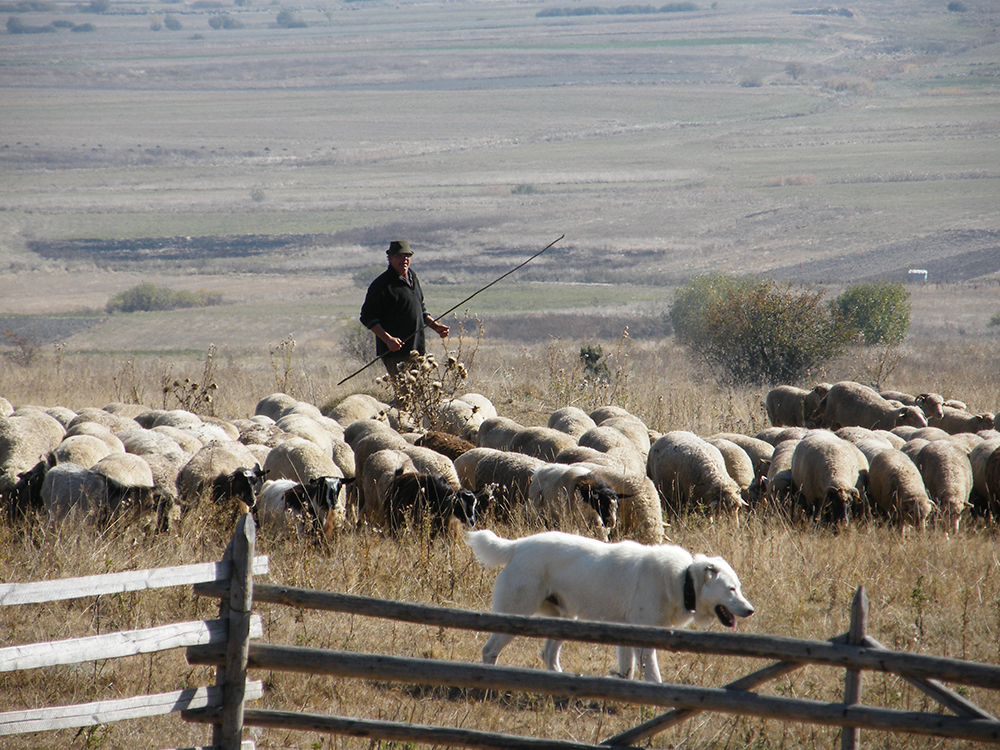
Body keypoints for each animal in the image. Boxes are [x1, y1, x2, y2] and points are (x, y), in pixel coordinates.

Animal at [464, 532, 752, 684]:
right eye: (731, 590)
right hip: (517, 616)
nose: (750, 611)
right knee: (489, 650)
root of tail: (518, 545)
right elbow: (652, 674)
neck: (683, 580)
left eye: (738, 587)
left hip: (566, 620)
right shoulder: (644, 636)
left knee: (548, 655)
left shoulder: (627, 632)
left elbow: (627, 669)